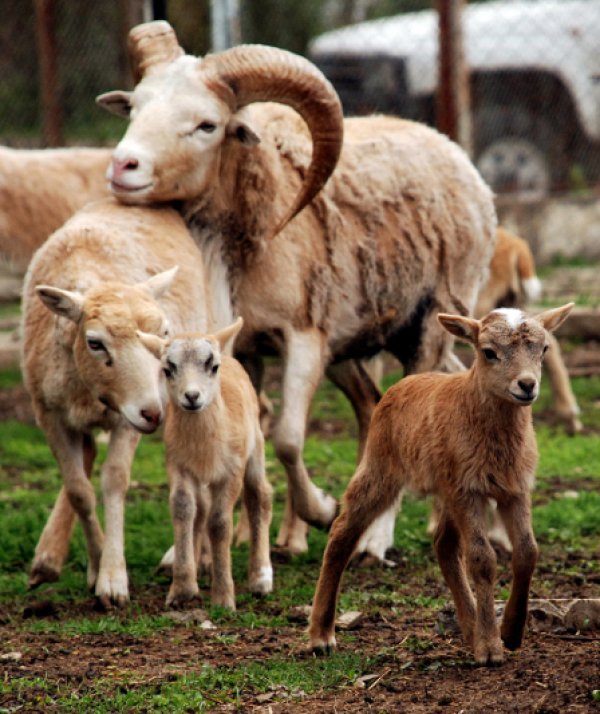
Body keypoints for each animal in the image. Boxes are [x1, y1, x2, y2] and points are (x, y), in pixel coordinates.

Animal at [21, 196, 213, 608]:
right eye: (95, 342)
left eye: (165, 333)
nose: (155, 414)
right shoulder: (48, 412)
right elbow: (79, 490)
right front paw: (96, 567)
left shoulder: (128, 418)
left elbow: (114, 481)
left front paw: (111, 578)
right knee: (86, 455)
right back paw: (46, 558)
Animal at [95, 18, 496, 556]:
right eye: (135, 108)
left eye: (207, 125)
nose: (123, 167)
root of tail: (448, 147)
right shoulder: (243, 347)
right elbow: (252, 426)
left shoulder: (303, 337)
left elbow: (287, 437)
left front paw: (322, 510)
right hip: (356, 348)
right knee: (377, 407)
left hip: (427, 326)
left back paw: (377, 541)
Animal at [138, 318, 272, 608]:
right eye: (167, 369)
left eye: (213, 366)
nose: (192, 396)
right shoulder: (178, 465)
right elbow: (183, 508)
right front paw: (182, 589)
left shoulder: (231, 470)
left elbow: (219, 523)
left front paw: (223, 598)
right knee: (201, 509)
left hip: (255, 446)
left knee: (259, 497)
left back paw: (260, 577)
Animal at [312, 300, 576, 660]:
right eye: (489, 352)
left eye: (544, 349)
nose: (526, 385)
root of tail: (405, 381)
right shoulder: (469, 489)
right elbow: (482, 559)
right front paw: (490, 648)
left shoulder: (514, 487)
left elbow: (527, 552)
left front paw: (510, 632)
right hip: (382, 465)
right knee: (342, 531)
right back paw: (321, 636)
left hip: (447, 486)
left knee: (444, 545)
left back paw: (469, 627)